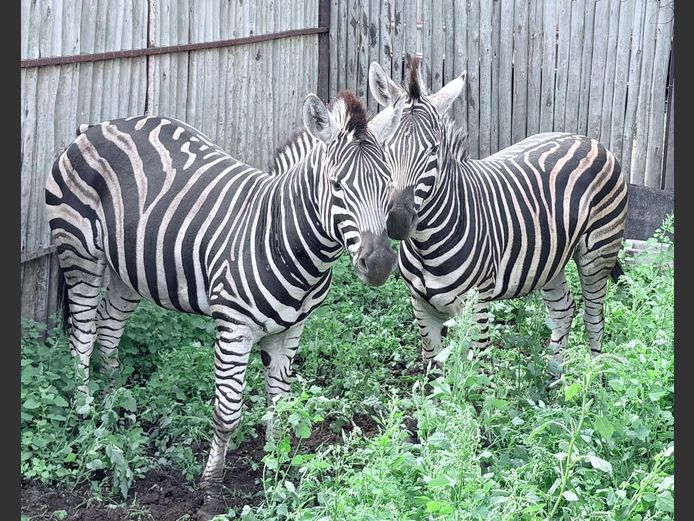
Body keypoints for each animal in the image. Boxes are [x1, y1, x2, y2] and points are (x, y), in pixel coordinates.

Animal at [45, 90, 404, 520]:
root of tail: (95, 126)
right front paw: (211, 491)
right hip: (78, 250)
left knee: (108, 329)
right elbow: (227, 413)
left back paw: (119, 409)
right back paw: (88, 417)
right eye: (336, 185)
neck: (282, 237)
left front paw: (274, 469)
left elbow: (279, 403)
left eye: (387, 184)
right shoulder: (233, 329)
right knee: (82, 334)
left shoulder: (292, 329)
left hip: (128, 269)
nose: (380, 263)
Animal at [368, 58, 628, 369]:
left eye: (434, 149)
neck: (425, 245)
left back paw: (592, 376)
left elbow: (471, 373)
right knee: (565, 309)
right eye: (385, 147)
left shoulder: (476, 305)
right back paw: (555, 376)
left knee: (594, 316)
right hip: (551, 259)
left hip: (598, 253)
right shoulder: (421, 307)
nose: (397, 221)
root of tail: (588, 139)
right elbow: (434, 375)